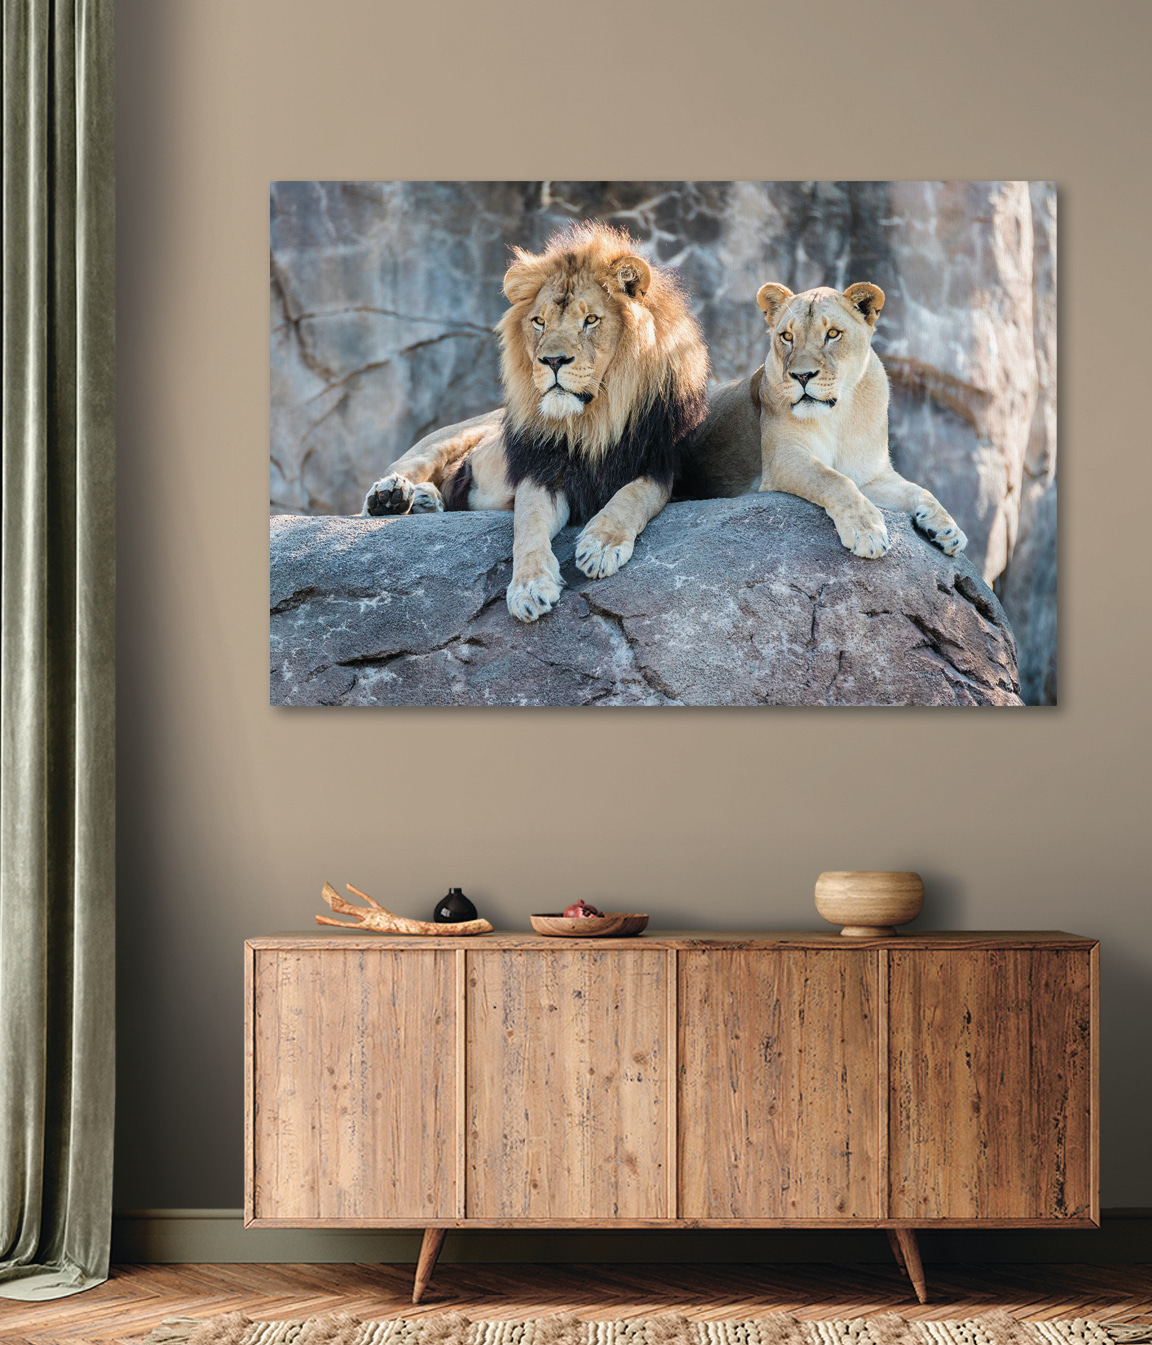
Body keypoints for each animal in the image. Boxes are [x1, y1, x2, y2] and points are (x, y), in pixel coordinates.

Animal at [361, 223, 710, 622]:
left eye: (591, 320)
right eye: (539, 321)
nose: (552, 360)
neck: (592, 421)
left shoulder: (661, 465)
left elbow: (633, 496)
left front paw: (601, 545)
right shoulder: (541, 470)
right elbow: (527, 525)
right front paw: (529, 588)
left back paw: (424, 500)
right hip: (446, 439)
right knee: (403, 470)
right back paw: (391, 497)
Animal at [678, 281, 967, 560]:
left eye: (833, 334)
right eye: (787, 337)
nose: (802, 375)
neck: (838, 415)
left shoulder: (871, 475)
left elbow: (919, 490)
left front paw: (948, 529)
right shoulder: (783, 457)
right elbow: (833, 479)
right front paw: (867, 531)